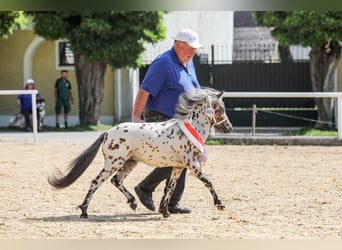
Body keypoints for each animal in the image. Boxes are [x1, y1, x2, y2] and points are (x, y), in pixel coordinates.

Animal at [47, 88, 232, 217]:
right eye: (221, 109)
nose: (229, 128)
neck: (190, 129)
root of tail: (107, 133)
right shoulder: (193, 165)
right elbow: (208, 182)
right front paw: (220, 204)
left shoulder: (178, 167)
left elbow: (170, 188)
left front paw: (165, 211)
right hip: (113, 163)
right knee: (96, 181)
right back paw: (84, 211)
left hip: (129, 162)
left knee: (116, 180)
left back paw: (133, 202)